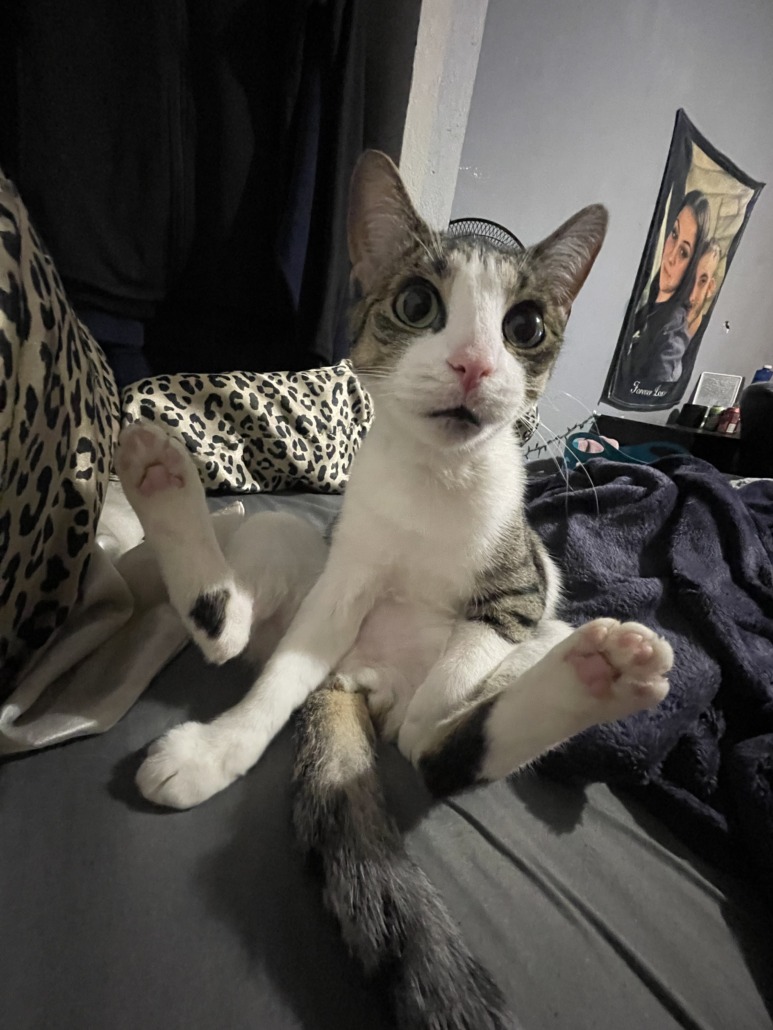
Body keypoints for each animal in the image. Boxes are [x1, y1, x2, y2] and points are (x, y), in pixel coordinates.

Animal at [116, 150, 672, 1030]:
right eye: (417, 304)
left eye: (524, 327)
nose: (473, 363)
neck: (437, 482)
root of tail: (361, 678)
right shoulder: (346, 575)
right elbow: (284, 676)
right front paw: (230, 740)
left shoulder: (517, 594)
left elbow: (443, 696)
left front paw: (445, 694)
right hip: (290, 543)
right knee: (236, 636)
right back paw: (163, 491)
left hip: (542, 632)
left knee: (436, 747)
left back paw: (599, 673)